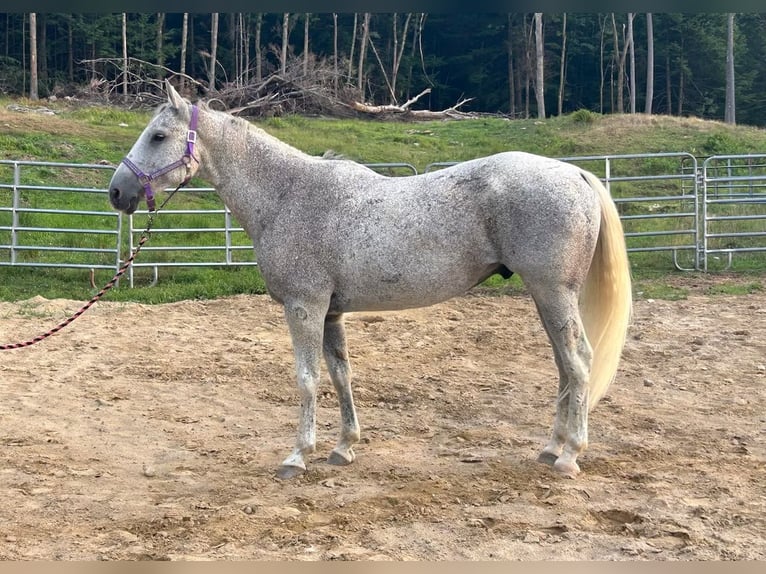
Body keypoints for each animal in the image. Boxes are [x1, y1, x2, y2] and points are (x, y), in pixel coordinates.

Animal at [109, 82, 636, 482]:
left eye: (158, 135)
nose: (117, 192)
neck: (286, 195)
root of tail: (576, 174)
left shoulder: (303, 307)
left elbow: (306, 380)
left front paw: (297, 456)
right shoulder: (330, 313)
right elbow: (341, 375)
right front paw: (344, 447)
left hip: (552, 293)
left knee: (578, 363)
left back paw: (569, 456)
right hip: (546, 298)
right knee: (565, 367)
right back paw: (551, 447)